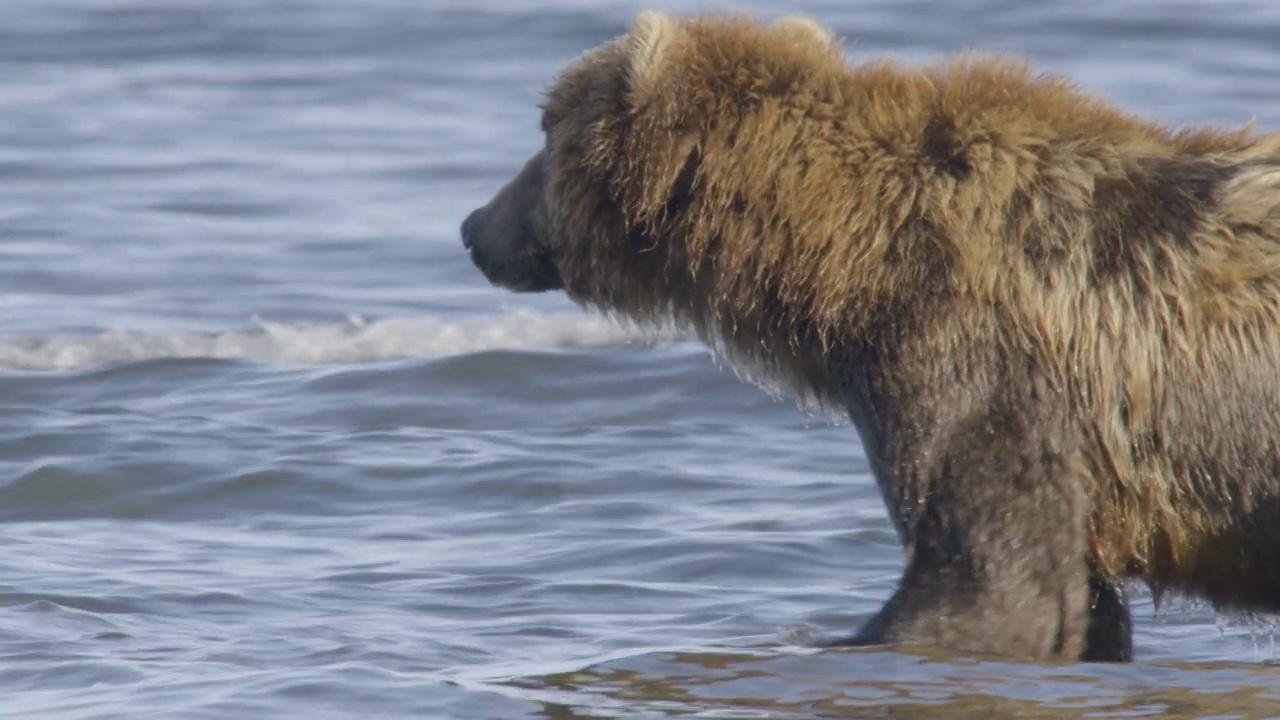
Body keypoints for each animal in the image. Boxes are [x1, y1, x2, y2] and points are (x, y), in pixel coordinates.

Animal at [458, 12, 1280, 661]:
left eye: (544, 128)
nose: (473, 226)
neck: (847, 251)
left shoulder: (967, 361)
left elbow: (989, 580)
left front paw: (819, 635)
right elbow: (1077, 601)